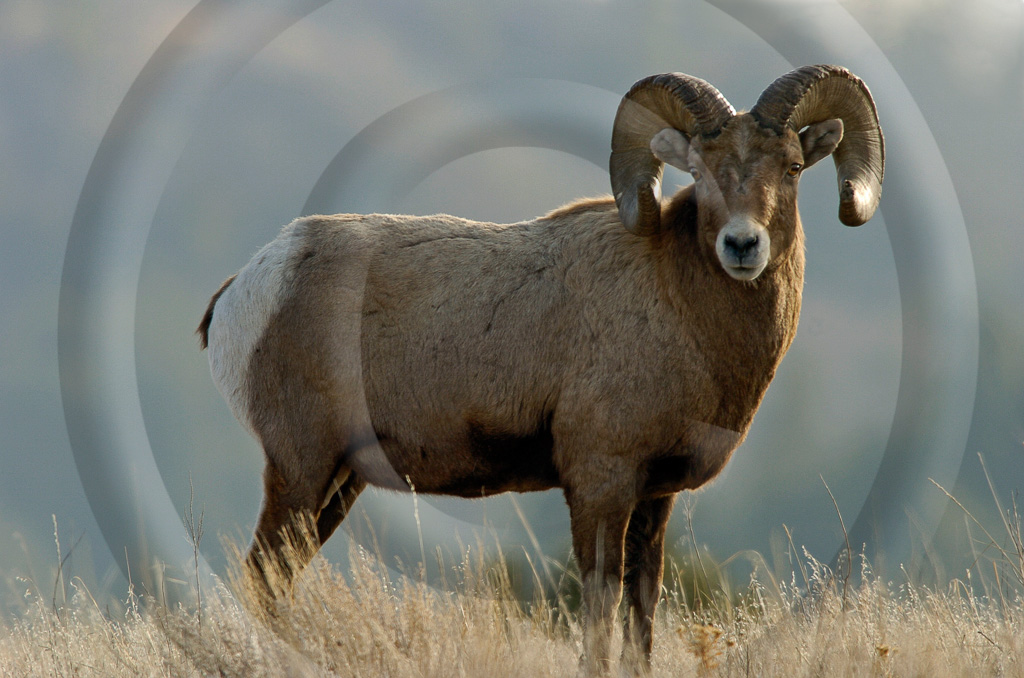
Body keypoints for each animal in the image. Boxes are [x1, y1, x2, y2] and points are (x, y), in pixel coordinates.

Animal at [197, 65, 880, 678]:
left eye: (792, 167)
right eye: (701, 169)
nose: (741, 246)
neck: (679, 307)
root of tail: (251, 282)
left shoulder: (652, 500)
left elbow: (641, 615)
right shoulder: (601, 482)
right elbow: (600, 609)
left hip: (339, 483)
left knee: (276, 581)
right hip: (300, 469)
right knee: (260, 579)